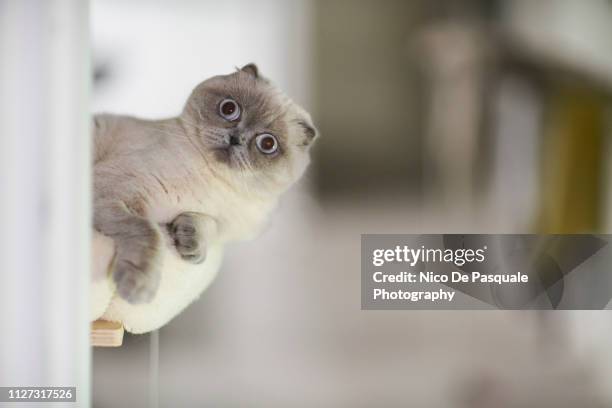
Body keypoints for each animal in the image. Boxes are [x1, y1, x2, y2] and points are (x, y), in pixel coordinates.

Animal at [94, 63, 320, 302]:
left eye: (267, 144)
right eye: (229, 109)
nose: (235, 138)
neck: (211, 182)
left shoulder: (227, 228)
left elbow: (208, 224)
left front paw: (191, 244)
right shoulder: (115, 191)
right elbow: (149, 231)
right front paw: (139, 290)